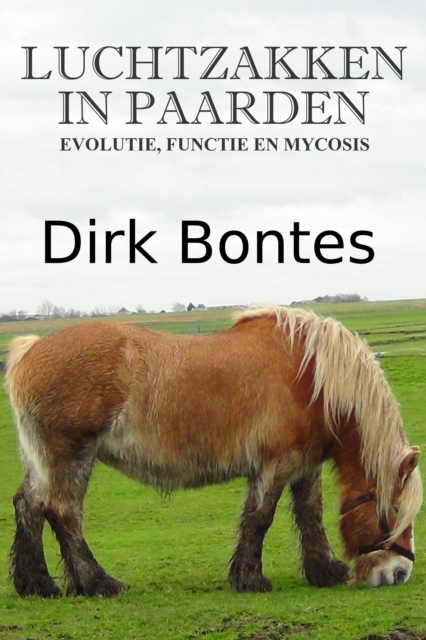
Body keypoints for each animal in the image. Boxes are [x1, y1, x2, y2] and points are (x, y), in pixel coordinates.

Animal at [5, 306, 422, 598]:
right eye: (394, 511)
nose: (399, 573)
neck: (309, 375)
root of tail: (31, 350)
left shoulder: (305, 465)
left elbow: (309, 514)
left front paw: (324, 571)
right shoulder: (275, 463)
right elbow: (260, 517)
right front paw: (250, 578)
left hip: (46, 461)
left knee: (29, 505)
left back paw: (37, 584)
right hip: (72, 455)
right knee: (63, 512)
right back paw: (97, 582)